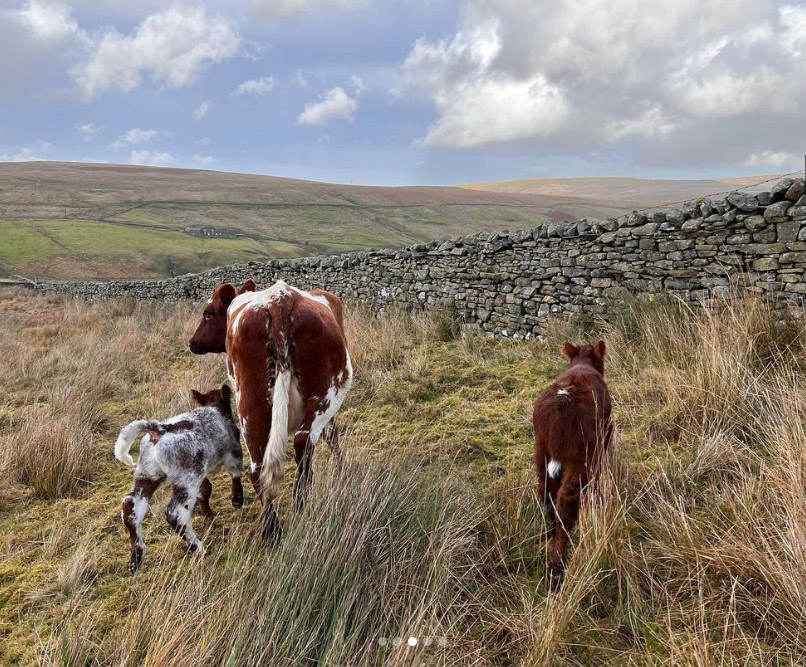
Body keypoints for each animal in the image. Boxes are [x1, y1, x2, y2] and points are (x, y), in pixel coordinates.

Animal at [191, 280, 356, 540]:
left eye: (208, 314)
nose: (192, 343)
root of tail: (280, 300)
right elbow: (331, 435)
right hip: (326, 392)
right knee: (302, 443)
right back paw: (300, 501)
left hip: (251, 404)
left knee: (260, 467)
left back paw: (273, 528)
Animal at [532, 342, 616, 592]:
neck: (582, 365)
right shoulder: (605, 436)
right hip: (580, 462)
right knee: (566, 505)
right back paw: (556, 569)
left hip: (541, 456)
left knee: (546, 494)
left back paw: (550, 537)